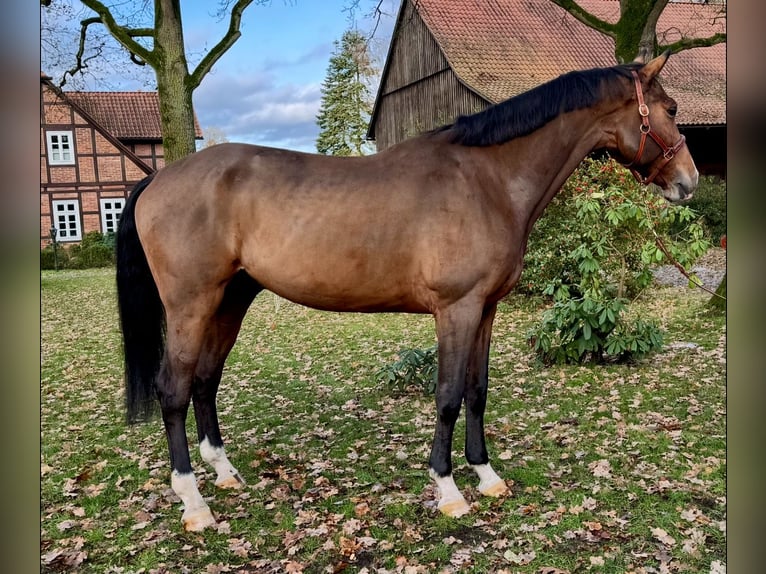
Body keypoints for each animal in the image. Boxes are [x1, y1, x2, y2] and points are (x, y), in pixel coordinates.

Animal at [117, 51, 700, 532]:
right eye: (670, 108)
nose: (689, 182)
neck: (487, 180)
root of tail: (158, 179)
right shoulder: (456, 310)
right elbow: (447, 396)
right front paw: (448, 490)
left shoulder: (485, 310)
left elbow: (477, 391)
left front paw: (486, 476)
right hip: (191, 305)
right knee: (174, 389)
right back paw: (194, 503)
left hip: (230, 300)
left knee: (205, 381)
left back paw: (225, 472)